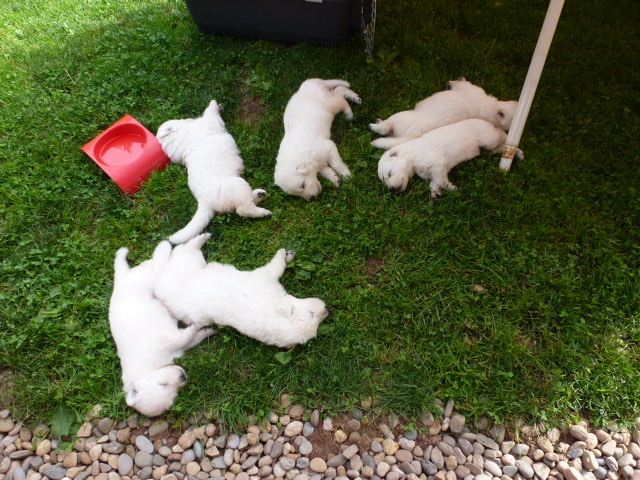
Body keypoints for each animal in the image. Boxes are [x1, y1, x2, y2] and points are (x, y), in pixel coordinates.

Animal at [110, 244, 218, 416]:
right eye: (172, 391)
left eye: (162, 385)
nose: (183, 377)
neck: (151, 369)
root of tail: (120, 281)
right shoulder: (176, 345)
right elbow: (191, 338)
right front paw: (206, 330)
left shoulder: (163, 341)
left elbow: (184, 336)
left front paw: (196, 325)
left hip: (144, 279)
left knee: (153, 262)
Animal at [152, 233, 328, 348]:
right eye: (311, 313)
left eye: (316, 322)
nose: (328, 309)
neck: (271, 306)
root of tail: (158, 287)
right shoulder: (263, 277)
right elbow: (276, 265)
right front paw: (284, 253)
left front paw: (287, 255)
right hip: (189, 263)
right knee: (183, 249)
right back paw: (203, 236)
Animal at [159, 100, 272, 244]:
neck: (178, 137)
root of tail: (204, 203)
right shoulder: (209, 122)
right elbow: (210, 113)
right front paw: (214, 104)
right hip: (237, 185)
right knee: (243, 209)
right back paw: (265, 212)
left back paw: (259, 194)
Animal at [370, 78, 516, 149]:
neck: (489, 109)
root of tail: (411, 137)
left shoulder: (468, 88)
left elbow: (461, 84)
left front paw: (454, 82)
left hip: (400, 117)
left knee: (384, 128)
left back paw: (375, 124)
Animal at [378, 118, 524, 197]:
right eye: (385, 182)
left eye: (390, 173)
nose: (392, 190)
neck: (411, 156)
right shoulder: (439, 169)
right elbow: (435, 182)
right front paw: (435, 192)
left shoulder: (437, 162)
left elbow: (440, 180)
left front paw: (451, 188)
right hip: (490, 148)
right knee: (499, 147)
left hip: (489, 138)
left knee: (502, 135)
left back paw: (518, 151)